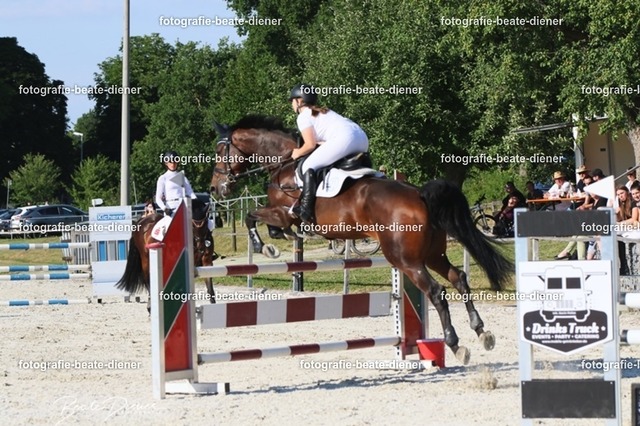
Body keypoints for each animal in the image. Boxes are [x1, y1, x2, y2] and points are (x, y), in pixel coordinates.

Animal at [210, 115, 513, 364]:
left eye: (220, 152)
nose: (215, 189)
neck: (284, 164)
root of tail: (420, 195)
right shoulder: (282, 215)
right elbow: (261, 221)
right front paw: (277, 240)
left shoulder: (284, 213)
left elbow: (252, 218)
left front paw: (266, 247)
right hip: (431, 254)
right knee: (458, 278)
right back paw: (481, 331)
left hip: (405, 259)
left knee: (437, 291)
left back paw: (455, 344)